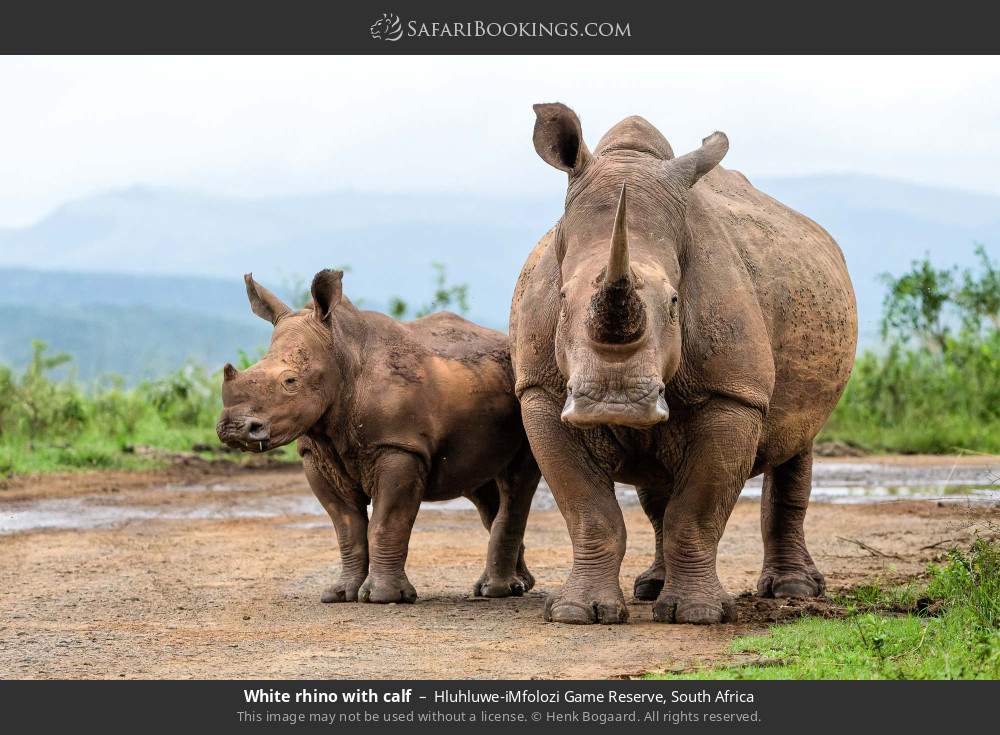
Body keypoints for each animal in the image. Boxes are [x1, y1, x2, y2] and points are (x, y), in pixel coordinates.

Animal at [217, 269, 540, 603]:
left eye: (290, 381)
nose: (233, 428)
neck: (340, 353)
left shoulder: (399, 446)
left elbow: (387, 522)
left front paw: (384, 596)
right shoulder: (316, 454)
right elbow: (347, 527)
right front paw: (340, 594)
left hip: (526, 396)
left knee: (517, 482)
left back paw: (497, 591)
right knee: (481, 489)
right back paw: (517, 585)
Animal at [509, 103, 857, 625]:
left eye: (676, 302)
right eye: (564, 299)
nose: (615, 402)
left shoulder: (733, 393)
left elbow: (695, 512)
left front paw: (698, 615)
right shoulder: (541, 391)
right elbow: (590, 512)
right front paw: (577, 613)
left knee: (796, 444)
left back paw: (793, 589)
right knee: (657, 485)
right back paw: (651, 587)